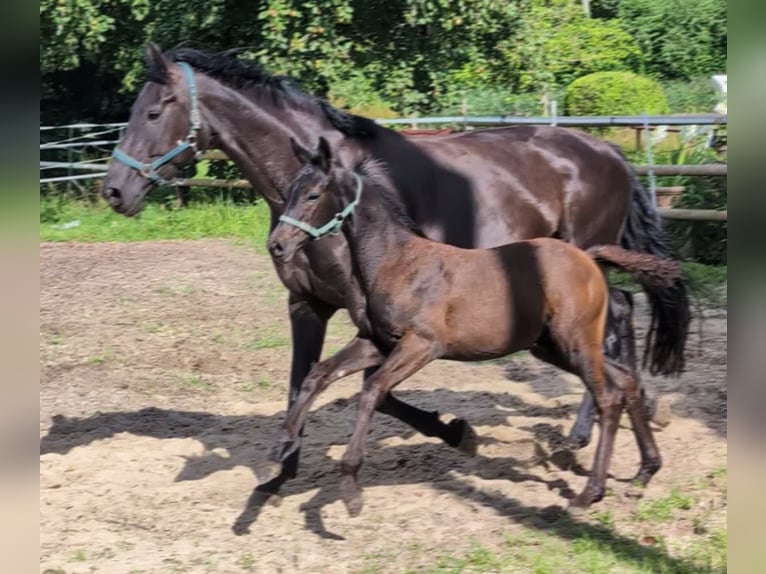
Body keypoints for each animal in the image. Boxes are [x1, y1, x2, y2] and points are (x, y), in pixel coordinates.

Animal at [262, 138, 680, 516]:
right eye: (289, 191)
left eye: (313, 195)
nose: (276, 245)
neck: (395, 261)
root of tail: (589, 258)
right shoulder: (377, 342)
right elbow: (318, 375)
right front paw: (278, 453)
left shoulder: (422, 345)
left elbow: (372, 391)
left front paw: (350, 488)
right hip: (552, 346)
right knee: (625, 381)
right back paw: (645, 471)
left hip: (574, 342)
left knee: (608, 396)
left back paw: (588, 493)